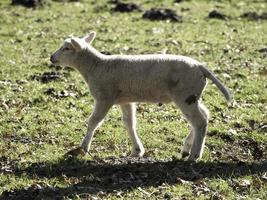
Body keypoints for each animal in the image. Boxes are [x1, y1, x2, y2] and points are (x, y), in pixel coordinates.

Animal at [50, 31, 232, 161]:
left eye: (66, 48)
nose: (51, 58)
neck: (95, 66)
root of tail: (201, 67)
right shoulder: (125, 100)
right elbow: (129, 123)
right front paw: (137, 151)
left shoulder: (104, 97)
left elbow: (93, 122)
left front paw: (83, 148)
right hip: (192, 96)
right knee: (204, 115)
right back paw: (187, 149)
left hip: (185, 95)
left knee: (199, 122)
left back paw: (195, 155)